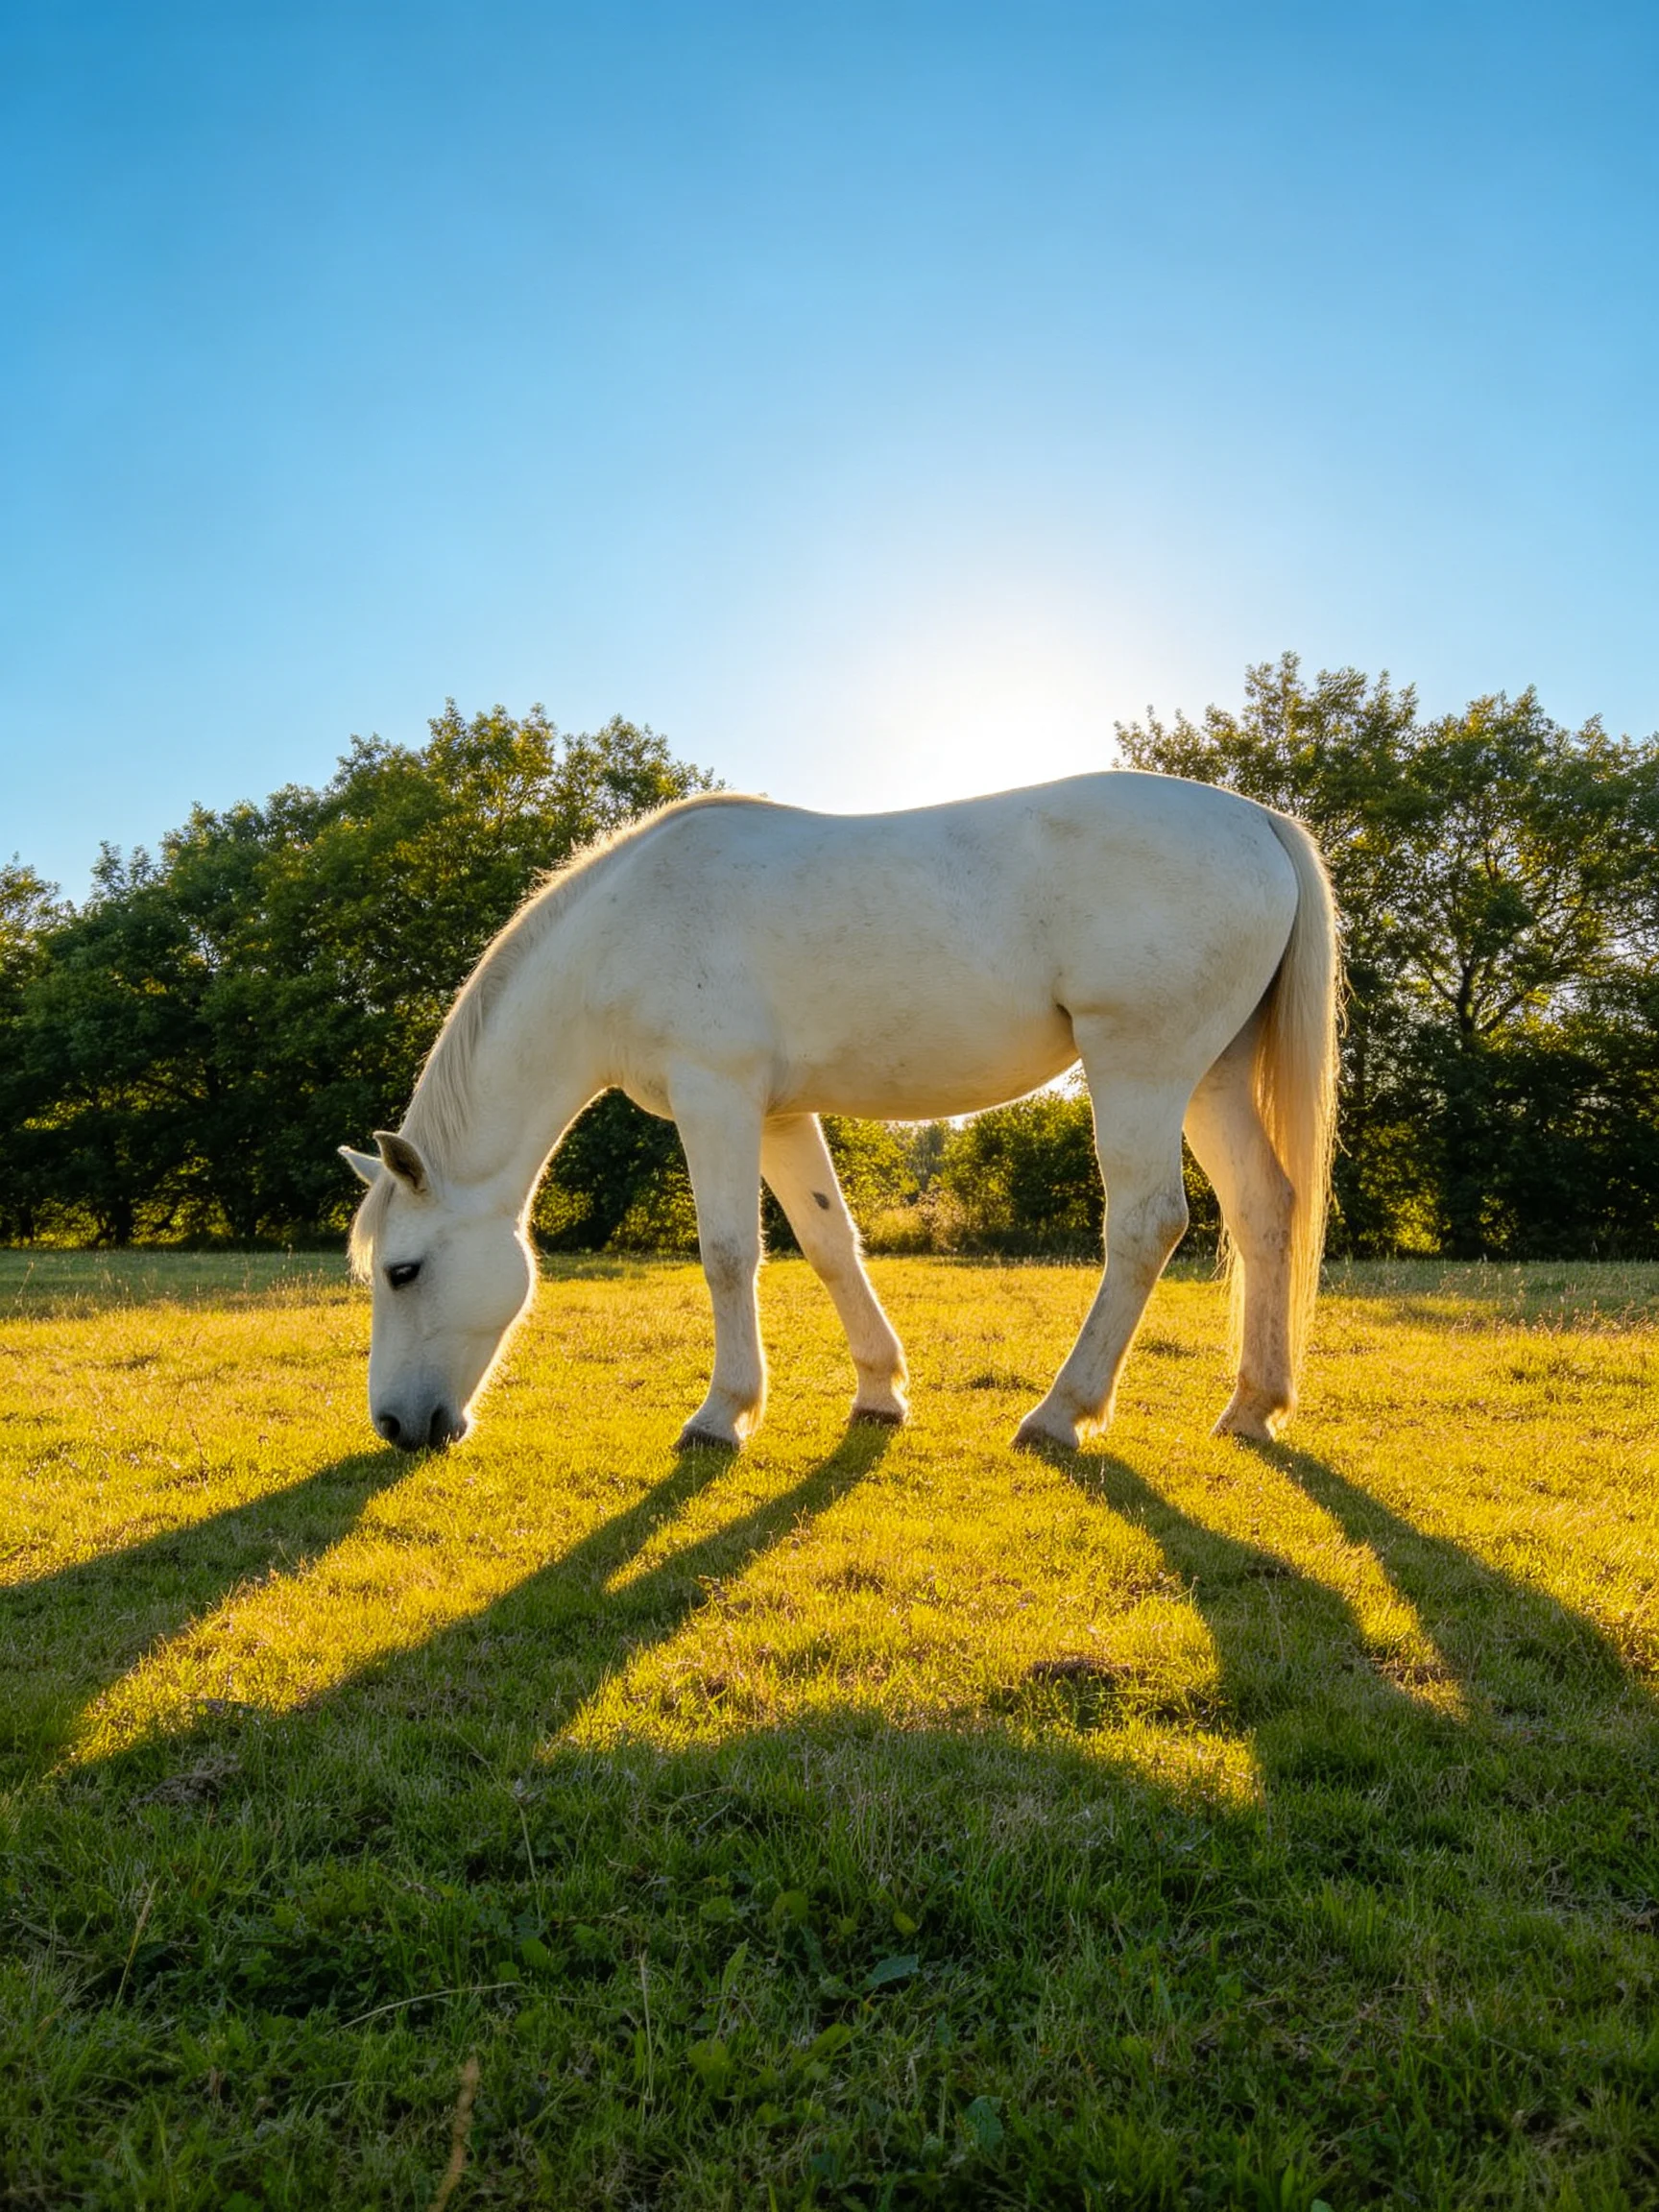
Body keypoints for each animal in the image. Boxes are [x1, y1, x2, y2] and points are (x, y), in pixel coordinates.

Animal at [341, 773, 1339, 1455]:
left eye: (401, 1271)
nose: (394, 1423)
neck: (622, 931)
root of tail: (1254, 819)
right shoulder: (780, 1117)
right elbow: (828, 1243)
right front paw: (880, 1392)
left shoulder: (716, 1099)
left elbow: (727, 1254)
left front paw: (722, 1413)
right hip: (1210, 1080)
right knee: (1263, 1210)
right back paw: (1252, 1408)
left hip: (1142, 1069)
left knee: (1146, 1226)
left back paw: (1061, 1413)